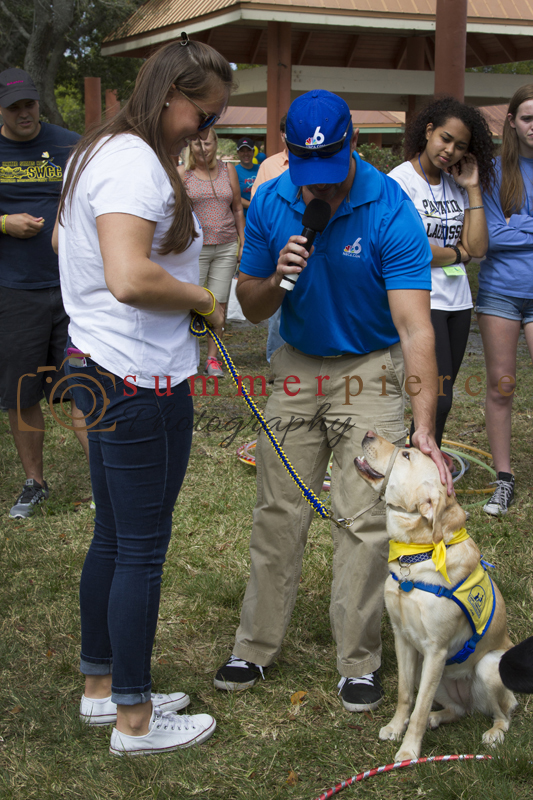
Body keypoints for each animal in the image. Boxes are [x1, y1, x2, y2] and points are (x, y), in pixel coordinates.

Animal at [354, 431, 517, 762]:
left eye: (407, 455)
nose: (368, 433)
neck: (418, 555)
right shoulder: (402, 637)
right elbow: (406, 695)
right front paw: (395, 728)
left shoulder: (436, 651)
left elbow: (418, 707)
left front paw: (408, 751)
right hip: (438, 678)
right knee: (457, 710)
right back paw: (437, 717)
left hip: (488, 666)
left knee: (503, 714)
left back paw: (493, 733)